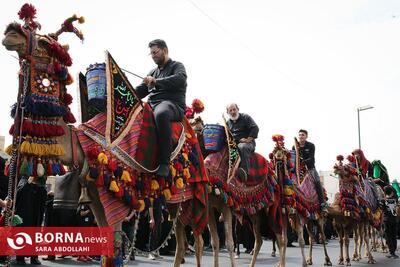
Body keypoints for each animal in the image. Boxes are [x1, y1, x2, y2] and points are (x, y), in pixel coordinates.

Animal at [3, 4, 208, 267]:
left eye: (45, 42)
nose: (10, 32)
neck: (83, 147)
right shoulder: (95, 196)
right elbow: (106, 250)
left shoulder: (116, 198)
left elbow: (117, 248)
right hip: (175, 201)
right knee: (183, 241)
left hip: (191, 193)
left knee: (198, 239)